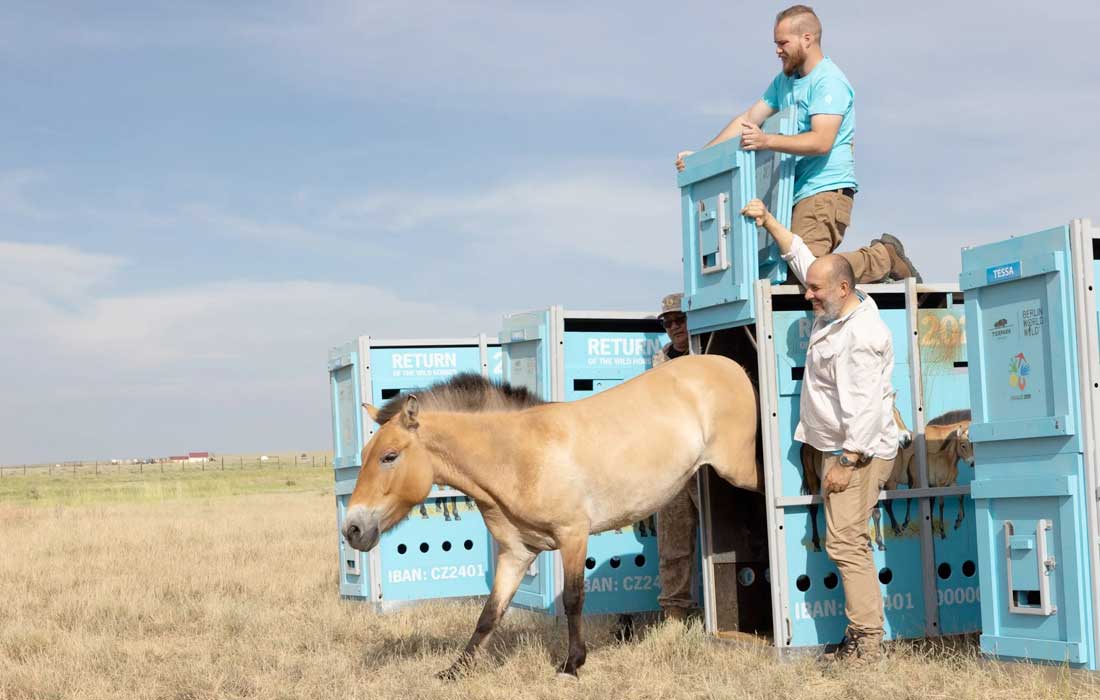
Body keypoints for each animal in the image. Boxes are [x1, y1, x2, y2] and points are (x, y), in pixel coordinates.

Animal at [341, 355, 760, 679]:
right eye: (365, 455)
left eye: (390, 456)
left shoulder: (573, 535)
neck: (518, 455)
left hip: (740, 470)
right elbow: (490, 613)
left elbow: (573, 599)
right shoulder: (517, 553)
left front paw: (572, 664)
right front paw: (455, 670)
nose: (353, 529)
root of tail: (730, 366)